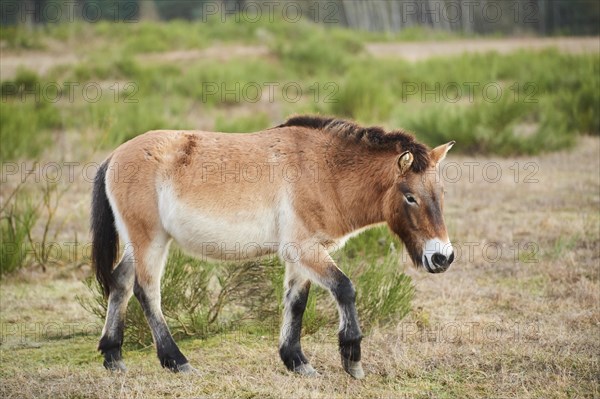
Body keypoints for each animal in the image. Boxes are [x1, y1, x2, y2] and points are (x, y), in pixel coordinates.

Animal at [90, 115, 454, 378]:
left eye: (440, 193)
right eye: (410, 196)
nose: (443, 257)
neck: (325, 170)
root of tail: (114, 156)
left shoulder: (301, 256)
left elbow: (296, 302)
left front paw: (296, 362)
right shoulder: (306, 249)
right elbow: (345, 288)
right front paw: (352, 360)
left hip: (142, 243)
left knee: (121, 282)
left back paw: (113, 356)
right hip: (150, 241)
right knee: (147, 291)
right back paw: (176, 361)